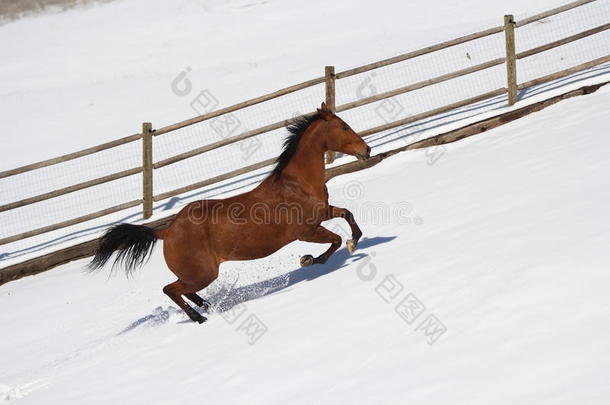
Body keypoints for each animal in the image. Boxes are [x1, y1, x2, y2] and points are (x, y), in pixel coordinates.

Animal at [88, 102, 368, 324]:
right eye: (343, 126)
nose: (366, 150)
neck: (297, 184)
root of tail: (166, 231)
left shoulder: (323, 214)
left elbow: (348, 215)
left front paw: (354, 241)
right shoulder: (307, 231)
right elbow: (335, 240)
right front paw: (309, 259)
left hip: (196, 275)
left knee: (182, 291)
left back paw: (205, 305)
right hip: (202, 274)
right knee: (170, 289)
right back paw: (199, 317)